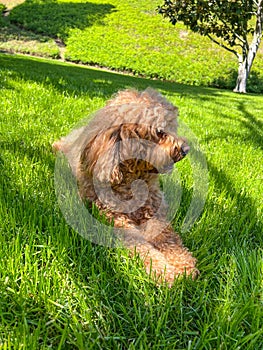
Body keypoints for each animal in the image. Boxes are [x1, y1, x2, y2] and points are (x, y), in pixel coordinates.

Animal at [53, 88, 198, 284]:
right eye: (160, 132)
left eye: (172, 127)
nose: (185, 149)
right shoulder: (116, 220)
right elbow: (140, 246)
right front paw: (163, 270)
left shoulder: (155, 214)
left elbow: (168, 238)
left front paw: (184, 265)